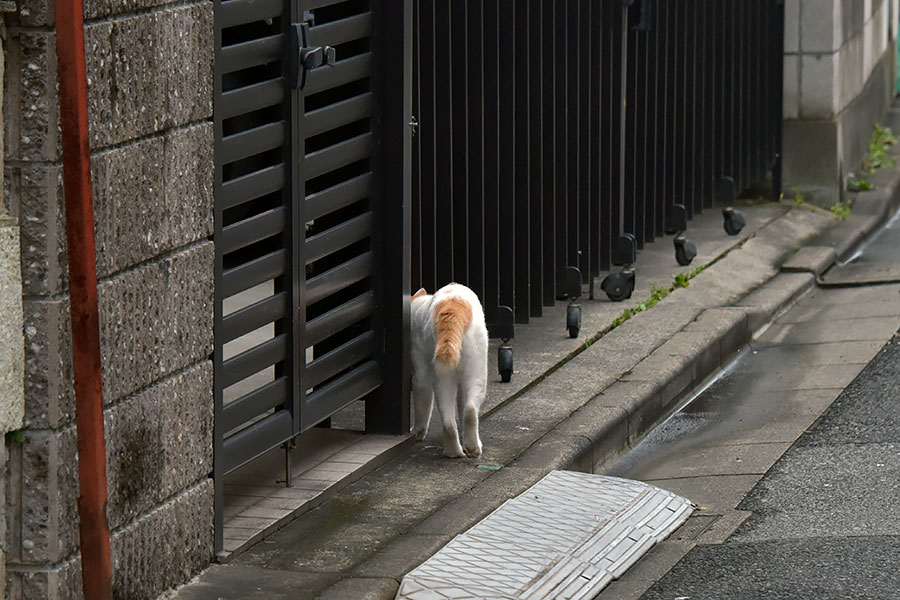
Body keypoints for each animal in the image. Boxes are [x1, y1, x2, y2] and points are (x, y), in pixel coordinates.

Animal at [412, 284, 488, 458]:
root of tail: (452, 308)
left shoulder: (421, 371)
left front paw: (417, 432)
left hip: (446, 372)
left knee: (452, 416)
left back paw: (457, 450)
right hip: (472, 371)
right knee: (468, 409)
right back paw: (467, 448)